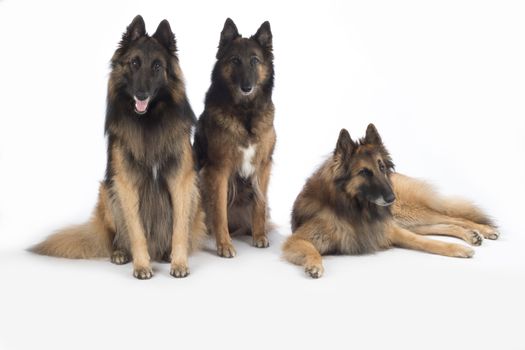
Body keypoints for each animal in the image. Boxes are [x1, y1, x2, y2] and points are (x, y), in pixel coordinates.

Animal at [29, 15, 207, 280]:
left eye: (157, 67)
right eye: (134, 63)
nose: (141, 94)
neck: (149, 122)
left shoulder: (181, 181)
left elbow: (178, 230)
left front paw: (179, 262)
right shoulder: (125, 183)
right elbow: (136, 231)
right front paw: (141, 265)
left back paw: (165, 254)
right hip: (108, 191)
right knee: (117, 237)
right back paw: (121, 252)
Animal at [192, 17, 274, 258]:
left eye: (254, 61)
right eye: (235, 60)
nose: (246, 87)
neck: (245, 113)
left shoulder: (263, 166)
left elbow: (259, 206)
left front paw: (259, 236)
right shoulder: (219, 170)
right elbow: (219, 212)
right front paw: (224, 245)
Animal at [282, 124, 496, 278]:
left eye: (382, 167)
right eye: (364, 172)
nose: (392, 198)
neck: (356, 209)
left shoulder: (389, 230)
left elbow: (425, 242)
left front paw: (457, 249)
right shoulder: (297, 239)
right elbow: (312, 250)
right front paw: (314, 265)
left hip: (406, 214)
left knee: (452, 217)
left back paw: (482, 231)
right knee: (445, 224)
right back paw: (472, 234)